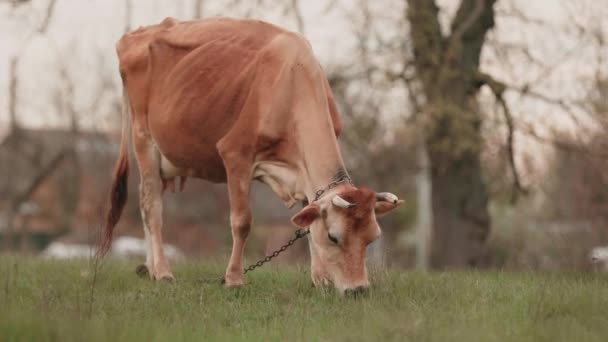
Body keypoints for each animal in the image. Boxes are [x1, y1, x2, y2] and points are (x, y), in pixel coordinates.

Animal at [101, 16, 402, 296]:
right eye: (334, 237)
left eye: (372, 238)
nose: (358, 290)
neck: (292, 80)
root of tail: (139, 34)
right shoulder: (236, 153)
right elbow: (242, 222)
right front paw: (234, 279)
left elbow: (307, 221)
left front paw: (319, 279)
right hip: (144, 140)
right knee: (152, 207)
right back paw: (163, 272)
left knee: (146, 203)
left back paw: (150, 268)